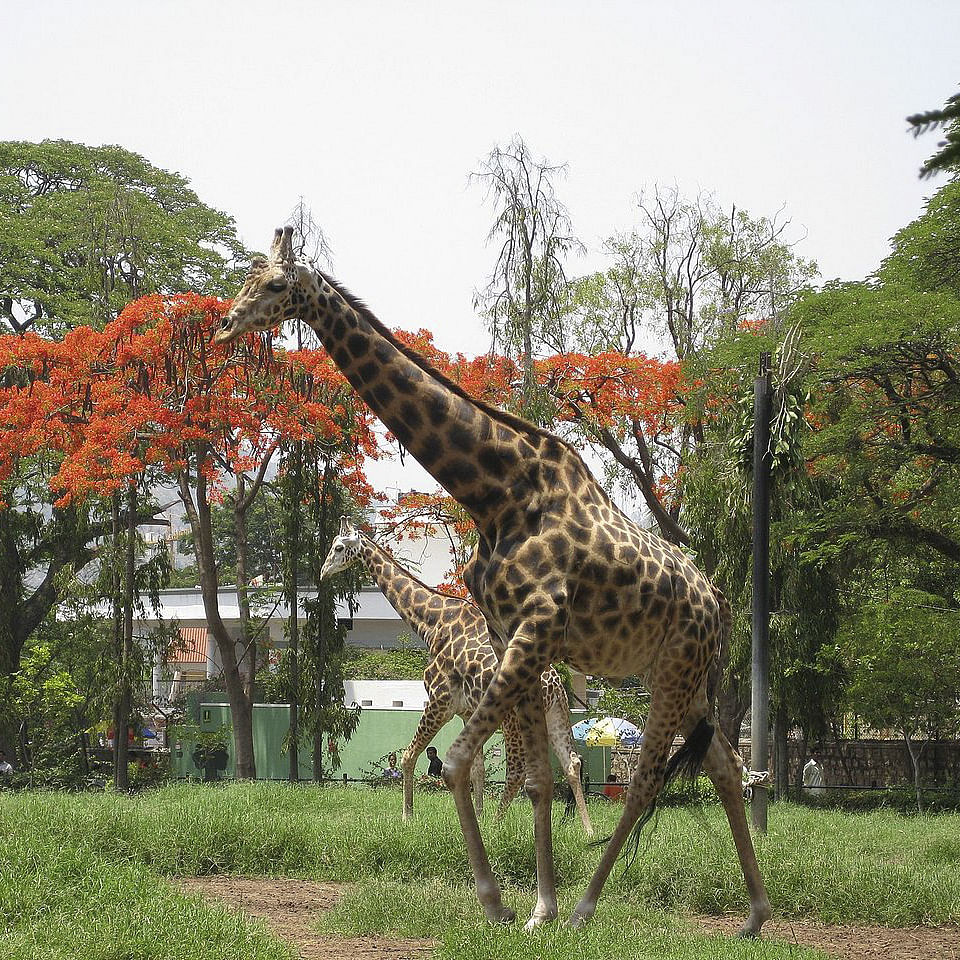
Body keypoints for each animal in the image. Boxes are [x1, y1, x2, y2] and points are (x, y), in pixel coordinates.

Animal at [320, 512, 592, 836]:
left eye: (338, 547)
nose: (322, 572)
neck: (431, 624)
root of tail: (555, 683)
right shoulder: (465, 711)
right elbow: (476, 768)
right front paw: (478, 815)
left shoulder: (439, 701)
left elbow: (410, 755)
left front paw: (408, 816)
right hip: (556, 713)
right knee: (571, 762)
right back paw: (587, 829)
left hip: (513, 718)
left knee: (517, 770)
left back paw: (497, 826)